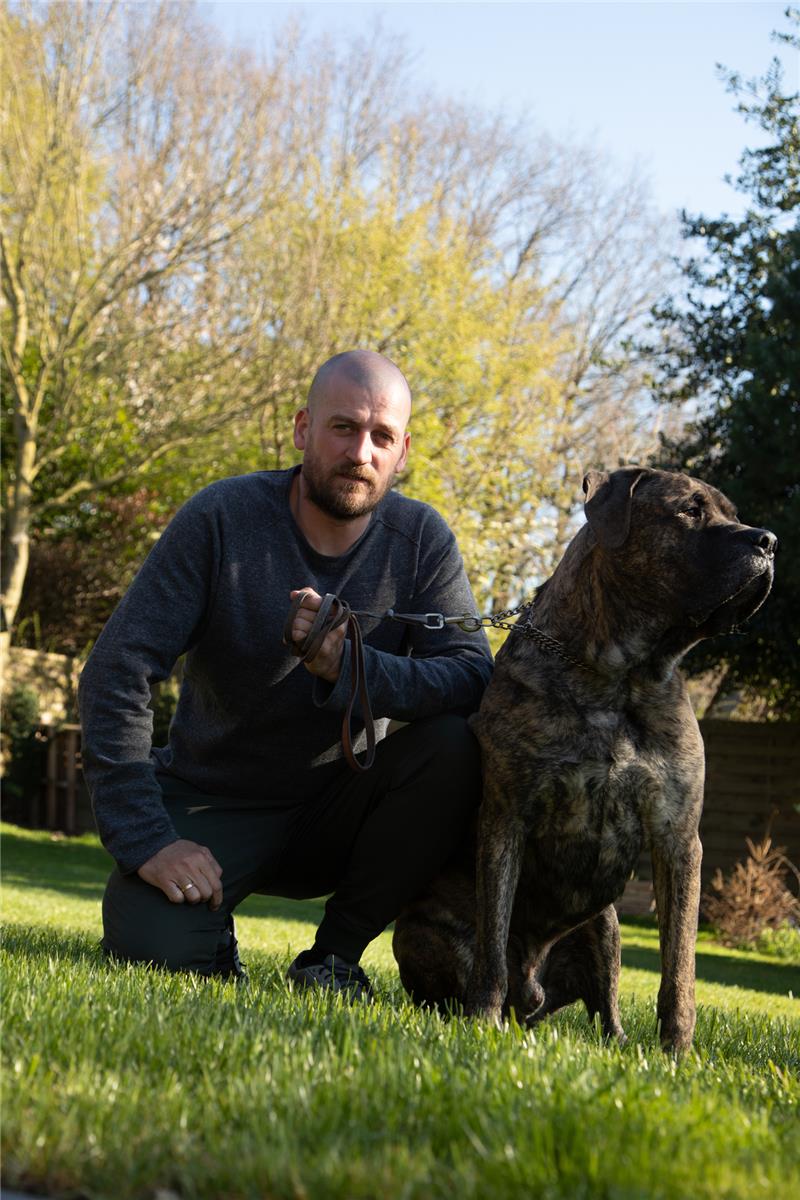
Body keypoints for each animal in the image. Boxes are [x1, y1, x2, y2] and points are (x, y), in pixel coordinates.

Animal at [393, 468, 777, 1051]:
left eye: (734, 514)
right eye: (690, 511)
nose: (768, 541)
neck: (621, 674)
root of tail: (532, 995)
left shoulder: (677, 837)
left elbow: (679, 967)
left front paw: (677, 1053)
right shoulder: (506, 819)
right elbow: (491, 943)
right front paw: (481, 1021)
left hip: (607, 925)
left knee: (606, 1006)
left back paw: (619, 1043)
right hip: (416, 932)